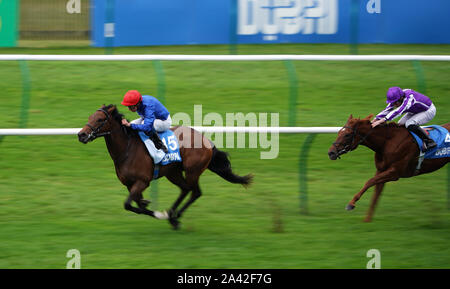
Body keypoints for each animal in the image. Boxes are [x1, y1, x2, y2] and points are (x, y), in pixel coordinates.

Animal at [77, 104, 253, 228]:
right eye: (90, 117)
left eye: (100, 119)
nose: (81, 135)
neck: (127, 149)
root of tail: (207, 141)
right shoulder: (129, 184)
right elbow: (136, 204)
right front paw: (150, 207)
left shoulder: (142, 181)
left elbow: (128, 204)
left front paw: (158, 213)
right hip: (173, 172)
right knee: (185, 189)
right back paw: (172, 216)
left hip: (192, 171)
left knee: (195, 192)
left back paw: (175, 216)